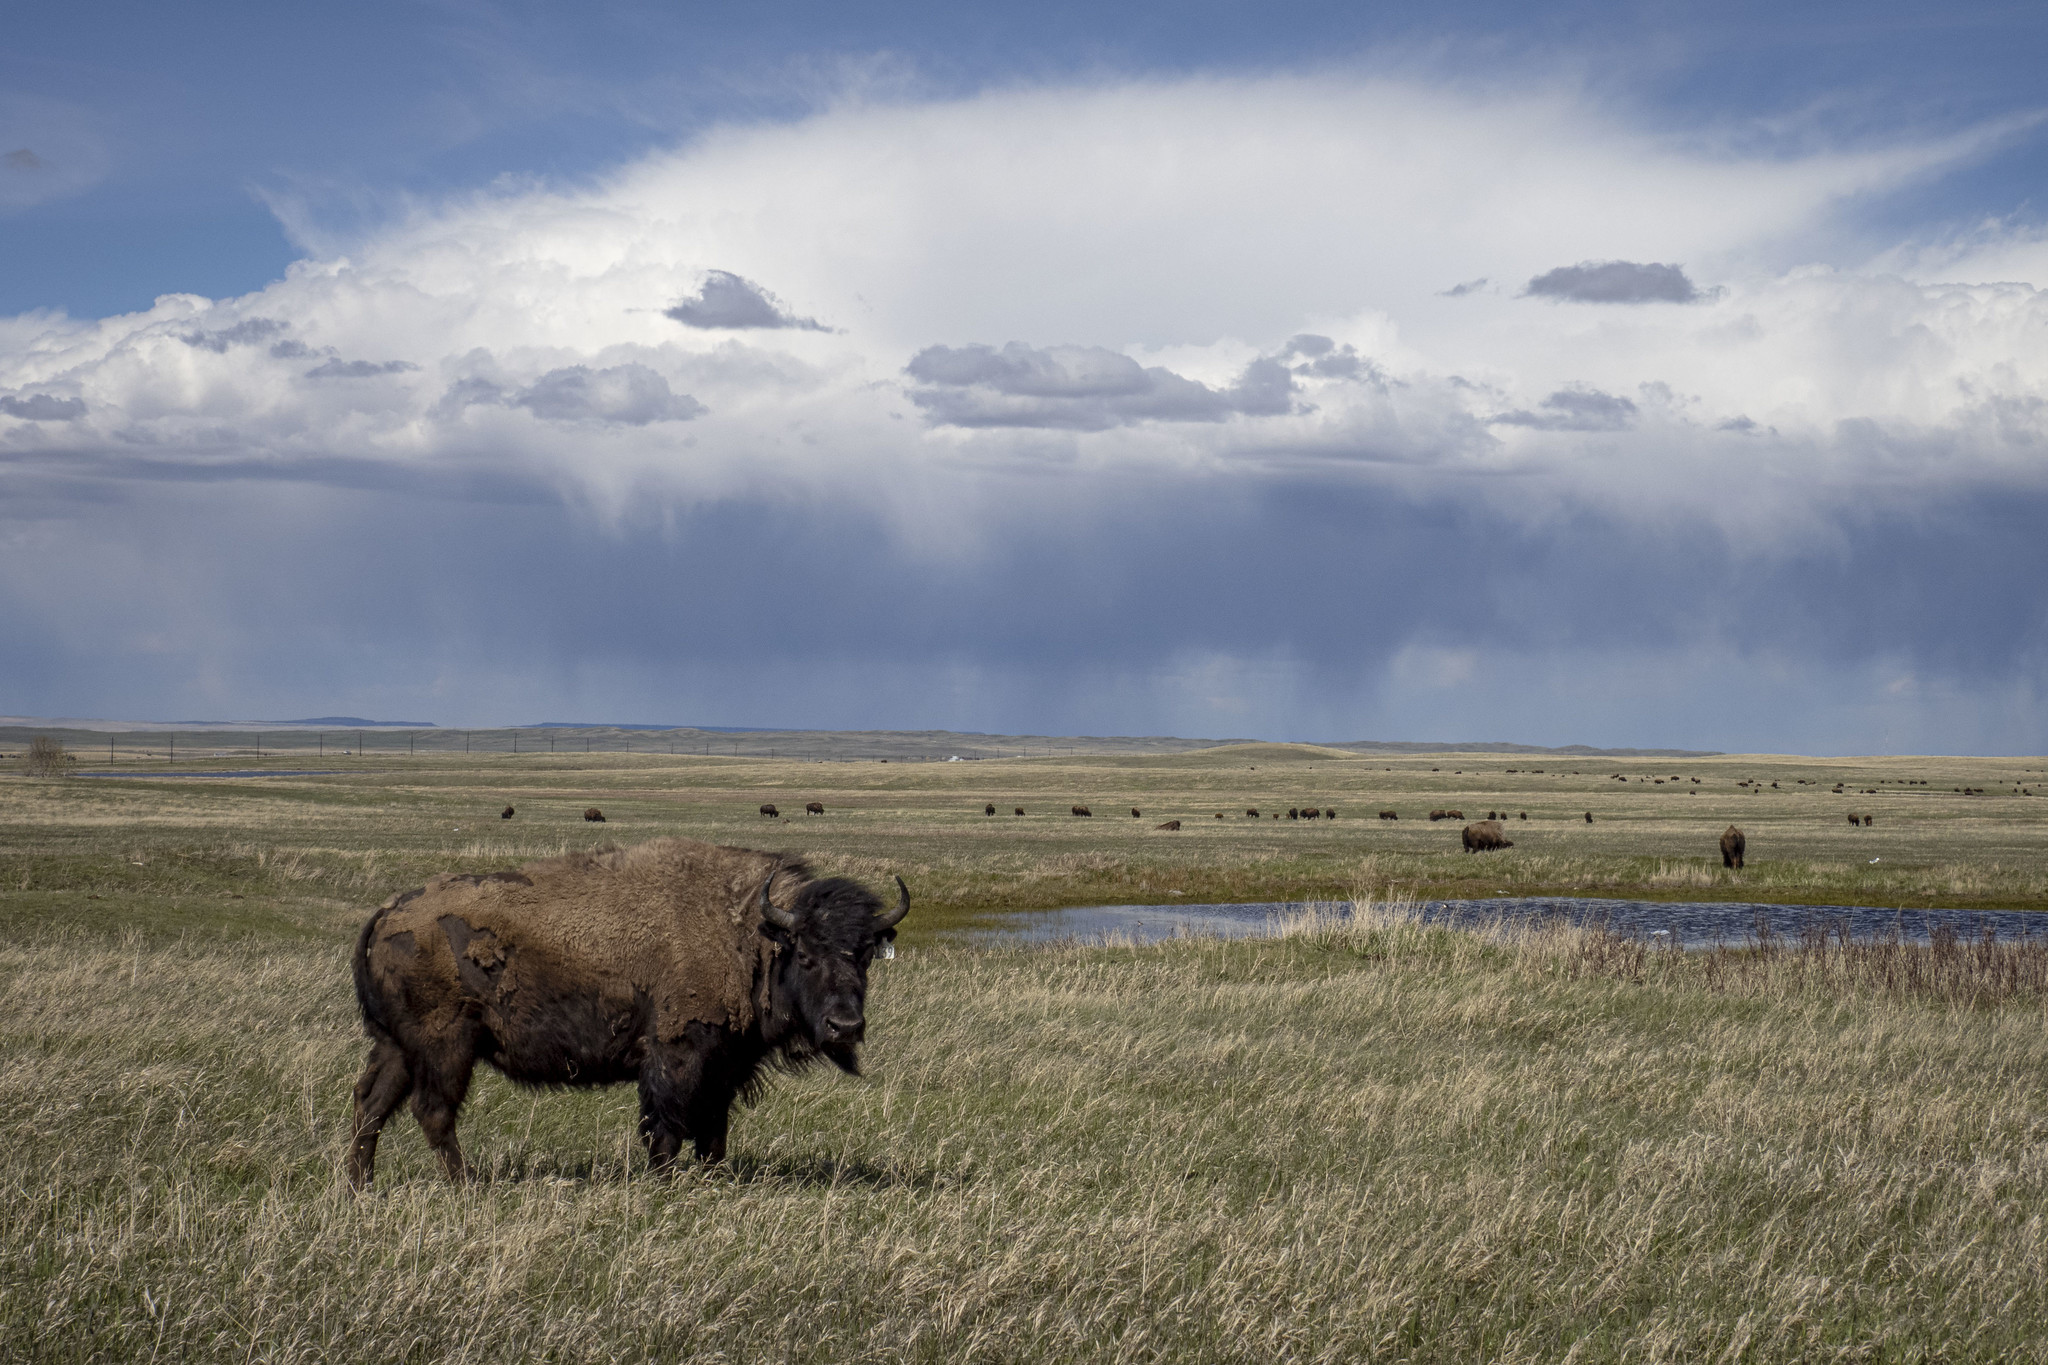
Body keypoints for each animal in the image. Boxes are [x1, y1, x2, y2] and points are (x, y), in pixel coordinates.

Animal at [348, 834, 909, 1186]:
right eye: (807, 955)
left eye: (864, 955)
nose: (845, 1026)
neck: (751, 935)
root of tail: (386, 912)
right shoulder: (675, 1057)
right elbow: (666, 1127)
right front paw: (661, 1183)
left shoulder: (724, 1067)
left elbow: (713, 1133)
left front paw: (712, 1179)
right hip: (447, 1046)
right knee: (432, 1112)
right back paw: (466, 1187)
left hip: (396, 1047)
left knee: (370, 1105)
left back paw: (361, 1187)